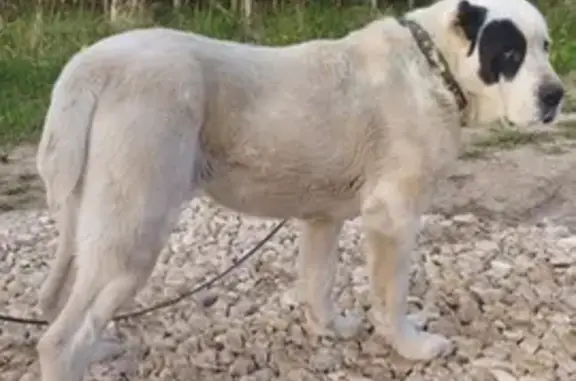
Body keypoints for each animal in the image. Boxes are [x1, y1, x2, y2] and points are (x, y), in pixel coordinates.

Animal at [35, 0, 564, 378]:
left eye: (546, 46)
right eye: (510, 54)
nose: (556, 95)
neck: (433, 65)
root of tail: (90, 65)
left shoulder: (323, 219)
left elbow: (319, 283)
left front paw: (332, 330)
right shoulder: (393, 217)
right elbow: (392, 295)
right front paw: (412, 346)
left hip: (89, 221)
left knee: (66, 307)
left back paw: (97, 348)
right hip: (134, 234)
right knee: (57, 341)